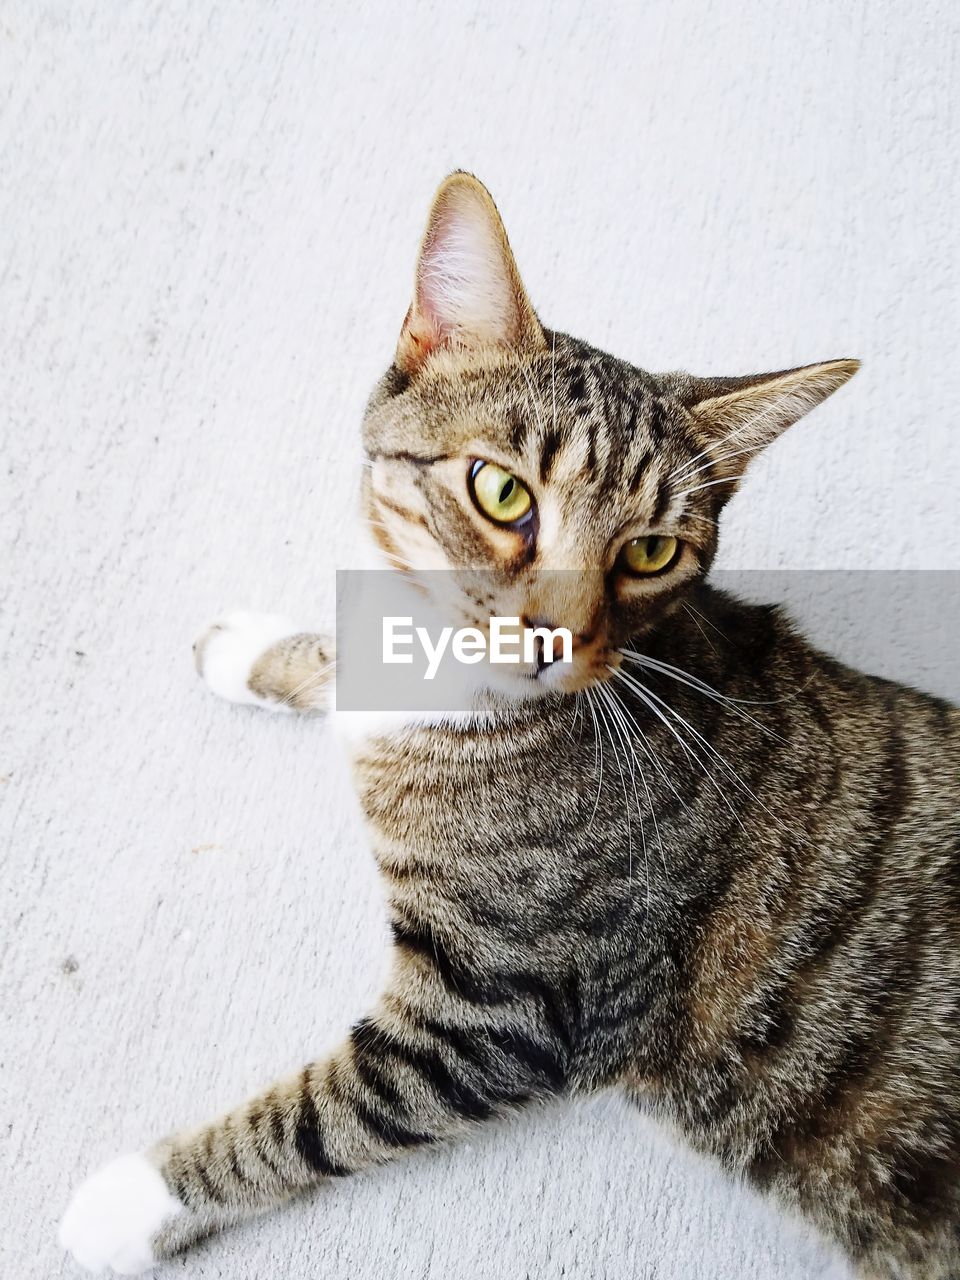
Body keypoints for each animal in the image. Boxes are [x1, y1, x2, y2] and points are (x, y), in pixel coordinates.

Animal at [58, 172, 960, 1280]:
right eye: (502, 491)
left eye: (650, 550)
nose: (554, 635)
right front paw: (257, 648)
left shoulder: (496, 1016)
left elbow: (310, 1116)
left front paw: (128, 1200)